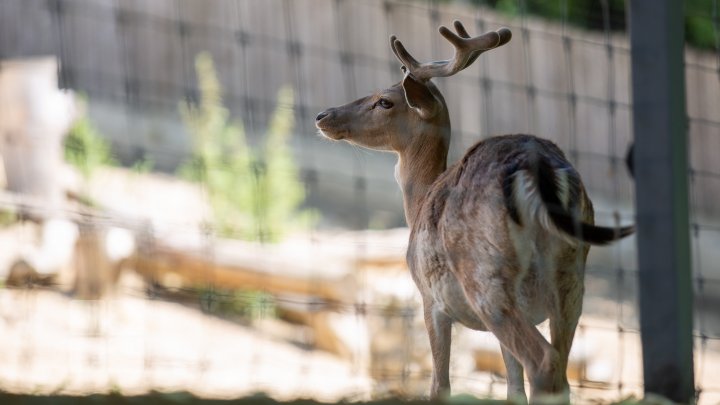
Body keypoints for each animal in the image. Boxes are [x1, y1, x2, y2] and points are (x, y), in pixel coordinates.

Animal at [316, 19, 636, 400]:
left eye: (385, 101)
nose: (323, 115)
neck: (418, 202)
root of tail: (539, 170)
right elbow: (512, 388)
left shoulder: (430, 299)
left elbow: (440, 385)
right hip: (571, 279)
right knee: (559, 371)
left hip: (486, 277)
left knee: (544, 364)